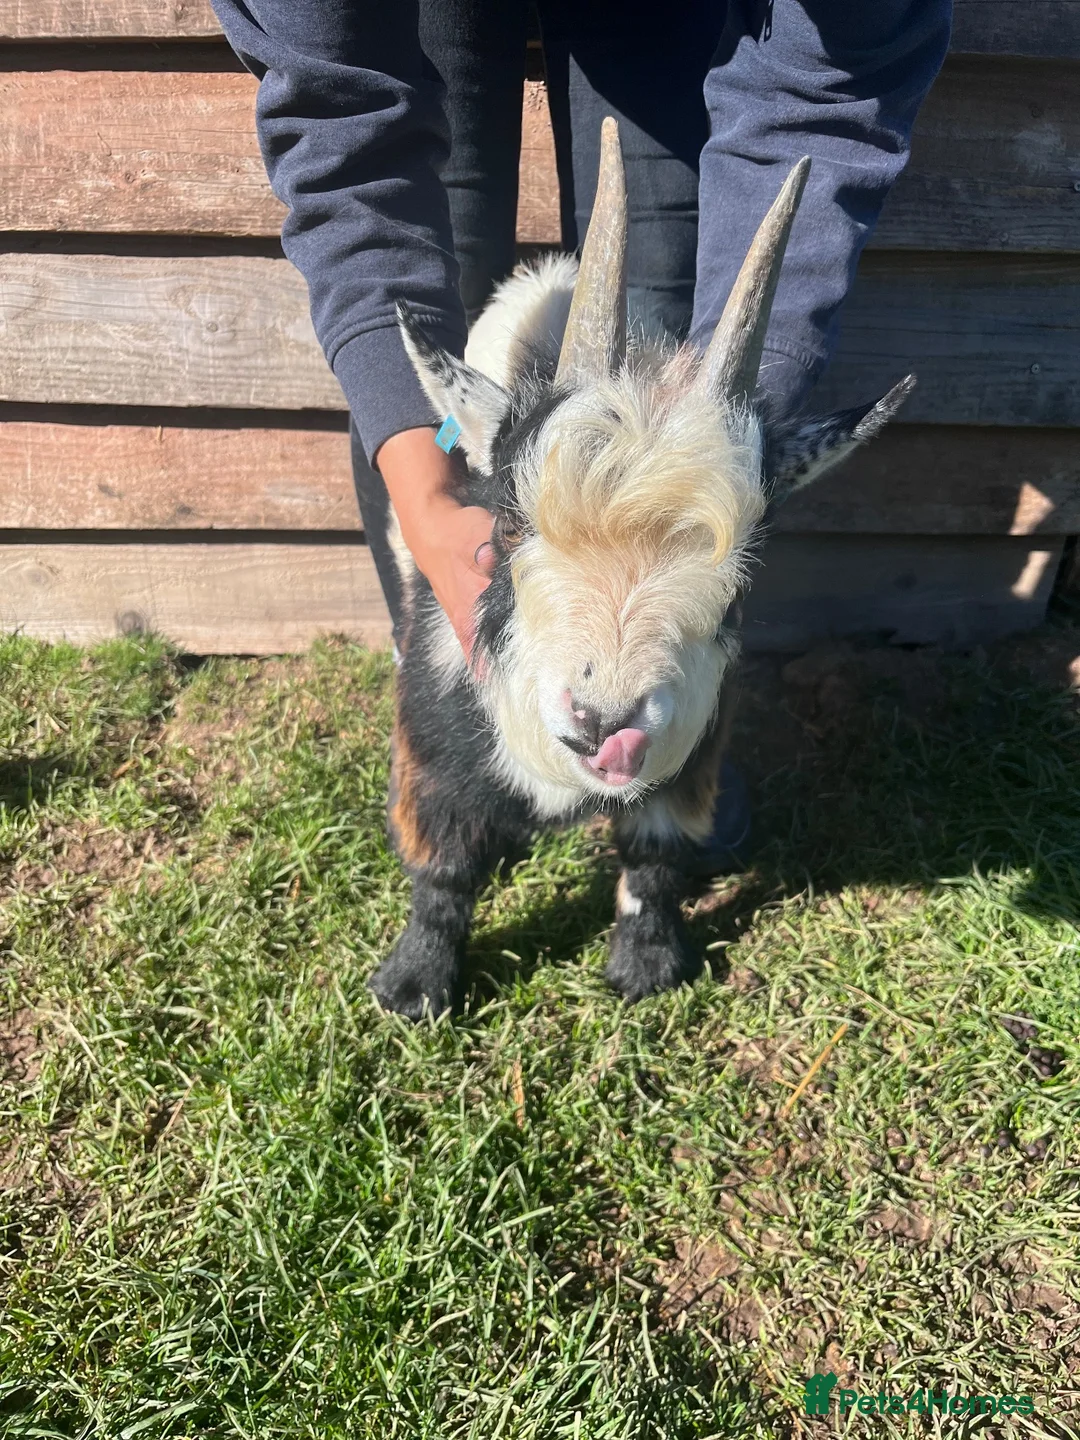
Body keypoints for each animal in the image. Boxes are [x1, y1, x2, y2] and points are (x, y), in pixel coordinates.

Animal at [370, 119, 913, 1019]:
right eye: (507, 527)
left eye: (743, 573)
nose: (603, 724)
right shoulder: (434, 738)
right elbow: (442, 869)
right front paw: (414, 986)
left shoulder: (692, 750)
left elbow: (654, 861)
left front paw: (647, 964)